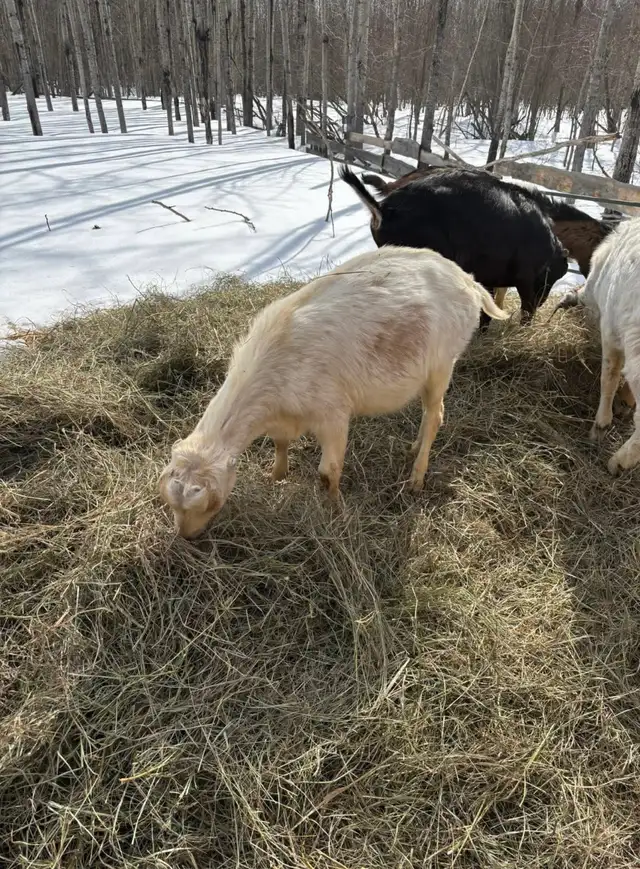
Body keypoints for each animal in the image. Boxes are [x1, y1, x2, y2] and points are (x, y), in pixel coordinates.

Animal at [158, 246, 508, 538]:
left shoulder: (334, 415)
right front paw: (275, 477)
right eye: (171, 504)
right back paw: (412, 448)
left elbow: (328, 472)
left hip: (441, 364)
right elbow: (280, 443)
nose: (186, 536)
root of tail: (467, 280)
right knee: (427, 414)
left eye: (211, 504)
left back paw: (416, 479)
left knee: (435, 414)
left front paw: (336, 511)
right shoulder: (283, 417)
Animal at [341, 165, 568, 327]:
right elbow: (525, 310)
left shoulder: (488, 276)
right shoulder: (526, 277)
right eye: (551, 277)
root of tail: (383, 210)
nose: (542, 301)